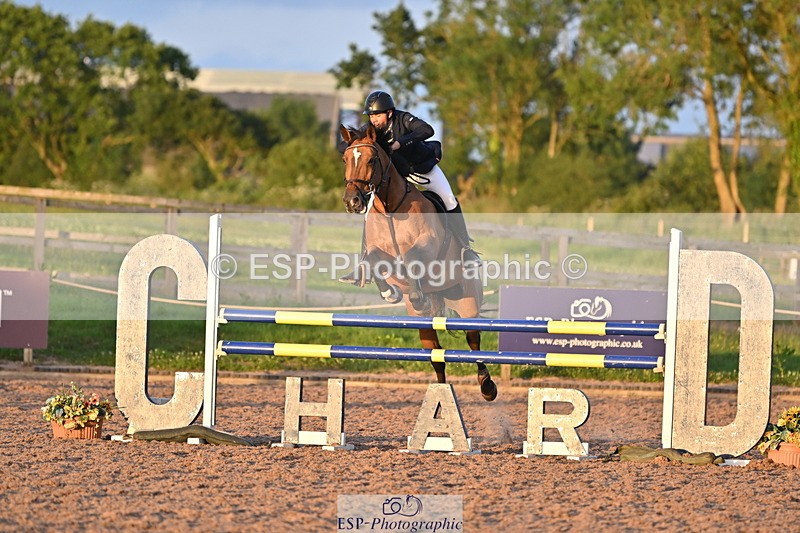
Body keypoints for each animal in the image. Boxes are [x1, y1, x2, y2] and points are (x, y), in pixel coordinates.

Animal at [339, 122, 497, 401]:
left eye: (371, 159)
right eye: (346, 159)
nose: (352, 201)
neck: (390, 209)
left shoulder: (428, 245)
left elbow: (412, 258)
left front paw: (412, 292)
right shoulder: (378, 253)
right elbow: (373, 261)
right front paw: (389, 293)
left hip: (468, 304)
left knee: (473, 342)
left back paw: (487, 387)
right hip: (422, 322)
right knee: (436, 355)